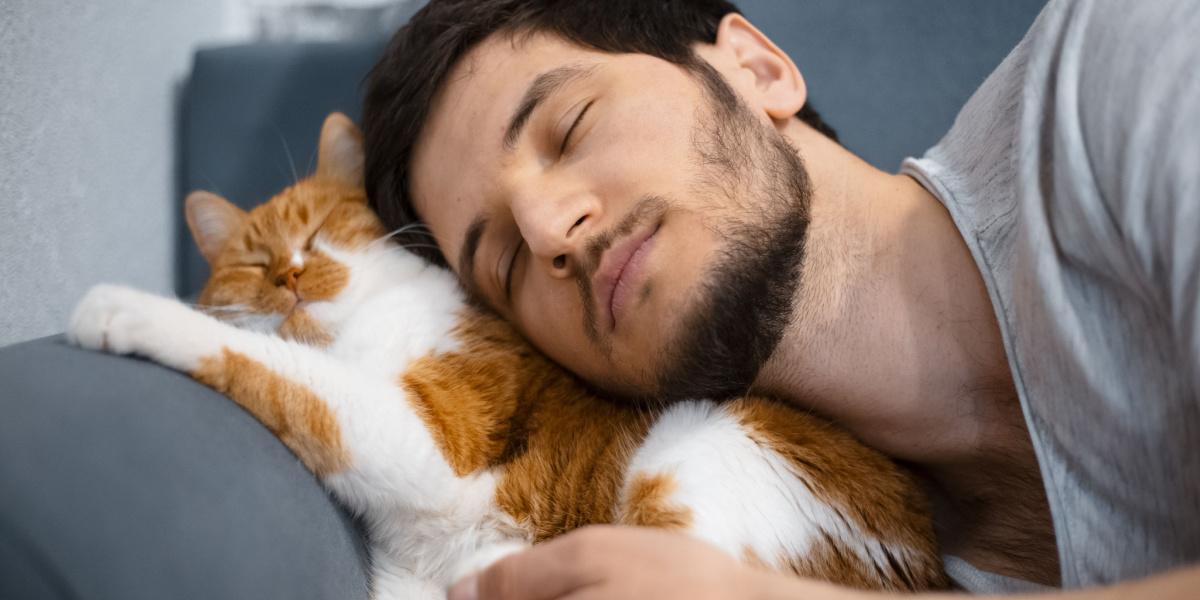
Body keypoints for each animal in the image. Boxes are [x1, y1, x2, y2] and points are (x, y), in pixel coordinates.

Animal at [68, 113, 945, 600]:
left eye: (316, 231)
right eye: (253, 262)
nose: (288, 275)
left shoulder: (432, 431)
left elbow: (283, 370)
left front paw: (123, 307)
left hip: (694, 470)